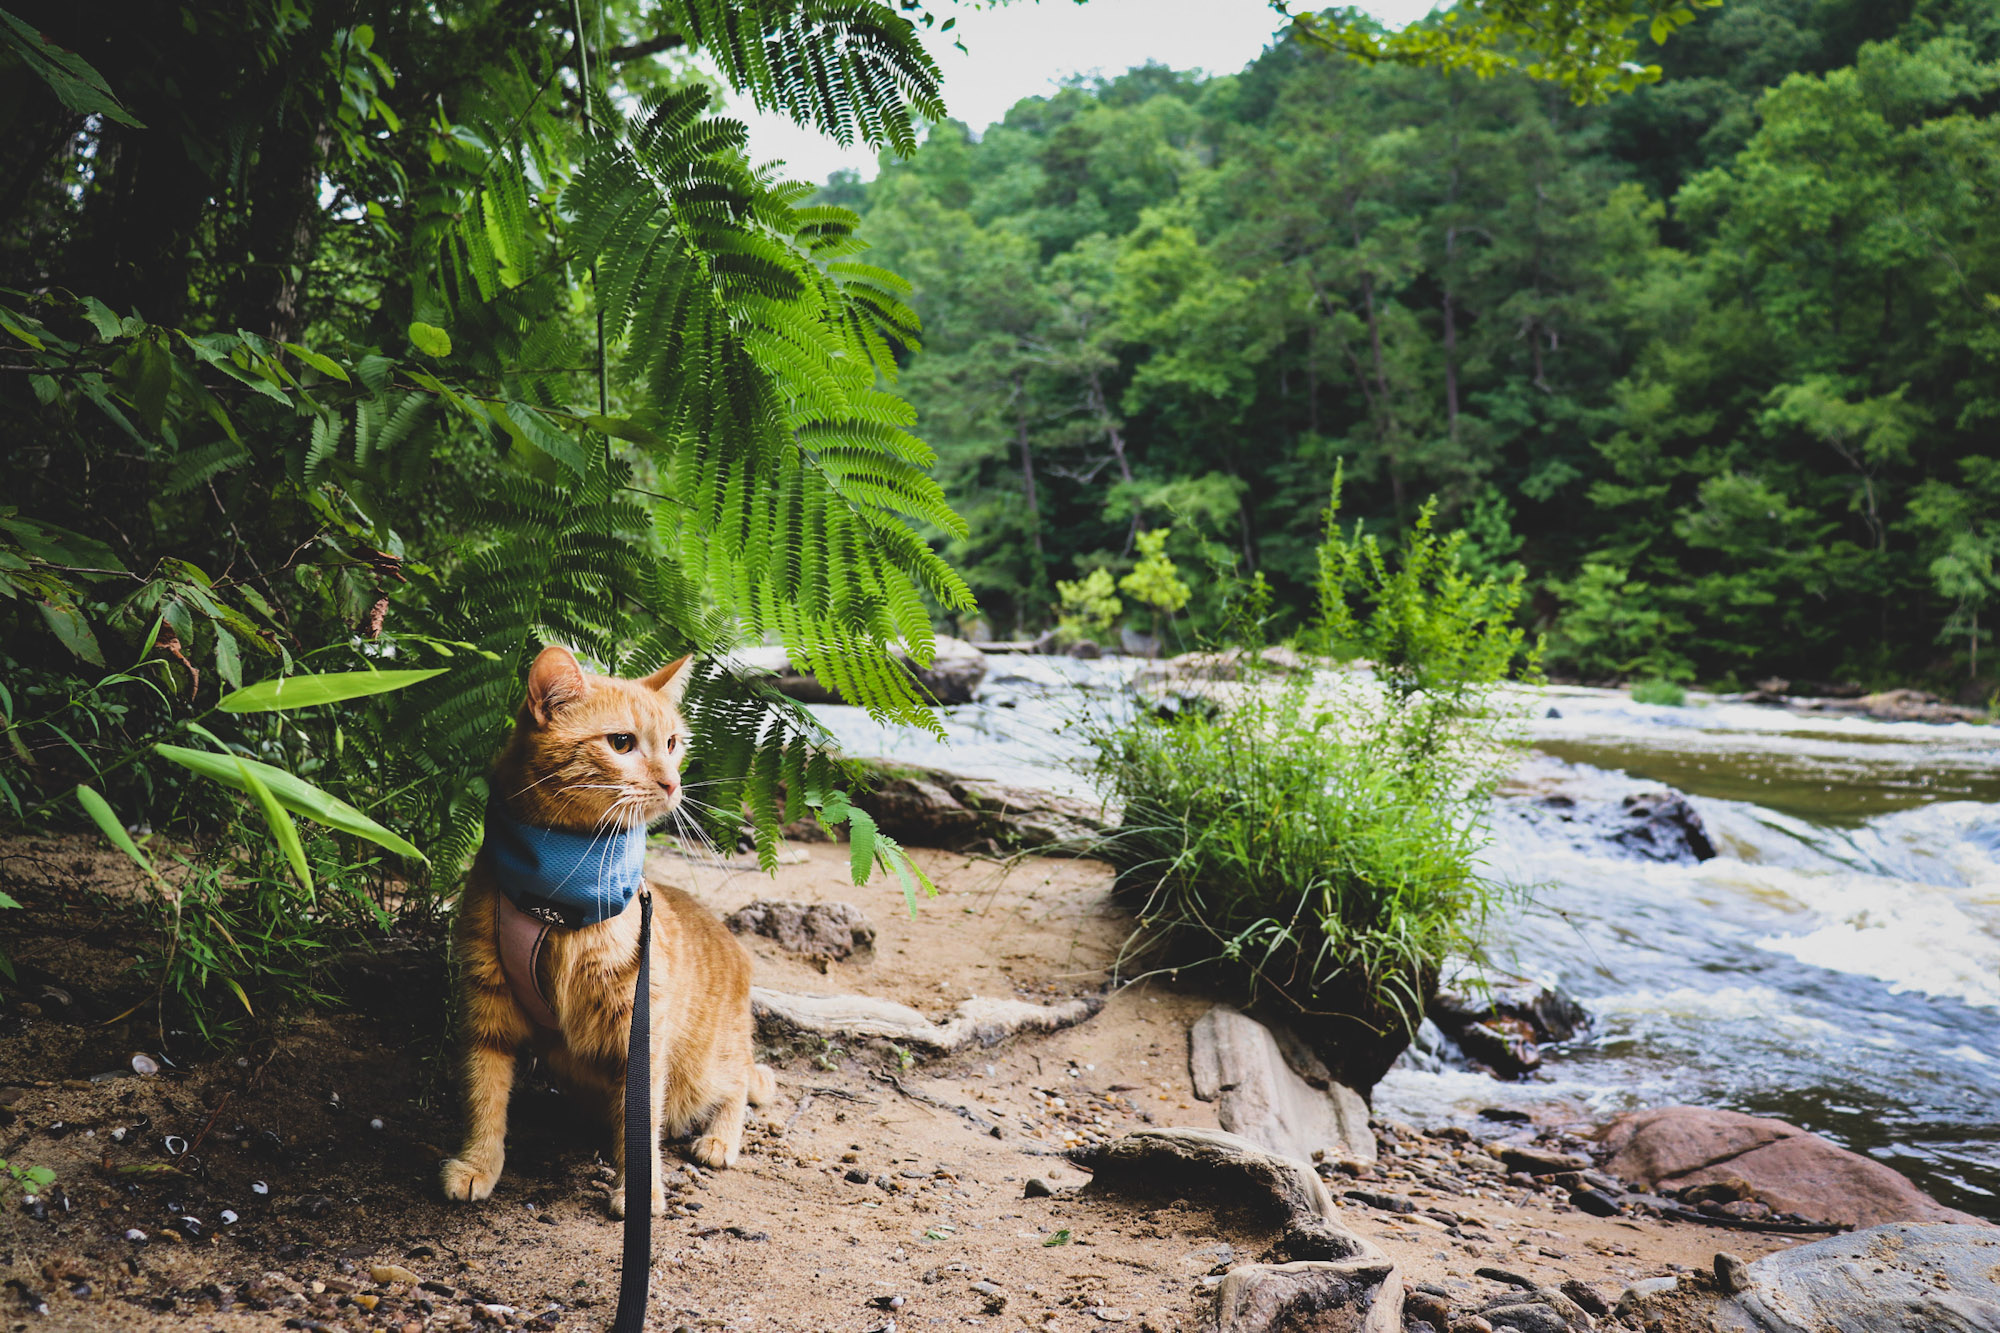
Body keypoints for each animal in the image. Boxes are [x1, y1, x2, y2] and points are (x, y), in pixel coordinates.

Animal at [444, 644, 772, 1216]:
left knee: (737, 1084)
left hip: (707, 1063)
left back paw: (719, 1139)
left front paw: (641, 1190)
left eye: (672, 743)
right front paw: (479, 1163)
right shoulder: (488, 1001)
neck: (558, 893)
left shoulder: (640, 1029)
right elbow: (483, 1093)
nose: (673, 783)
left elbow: (641, 1122)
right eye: (622, 743)